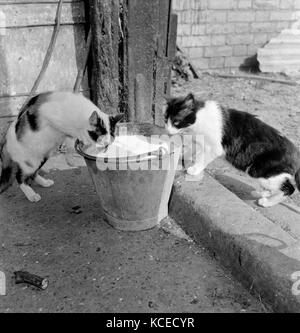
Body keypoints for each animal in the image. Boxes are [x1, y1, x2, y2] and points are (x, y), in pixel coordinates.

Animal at [165, 93, 298, 206]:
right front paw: (182, 156)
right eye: (166, 120)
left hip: (259, 170)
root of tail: (295, 153)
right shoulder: (199, 140)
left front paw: (194, 169)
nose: (167, 130)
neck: (200, 117)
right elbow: (193, 149)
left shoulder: (215, 147)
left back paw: (266, 202)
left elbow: (202, 158)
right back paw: (261, 193)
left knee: (289, 189)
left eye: (176, 122)